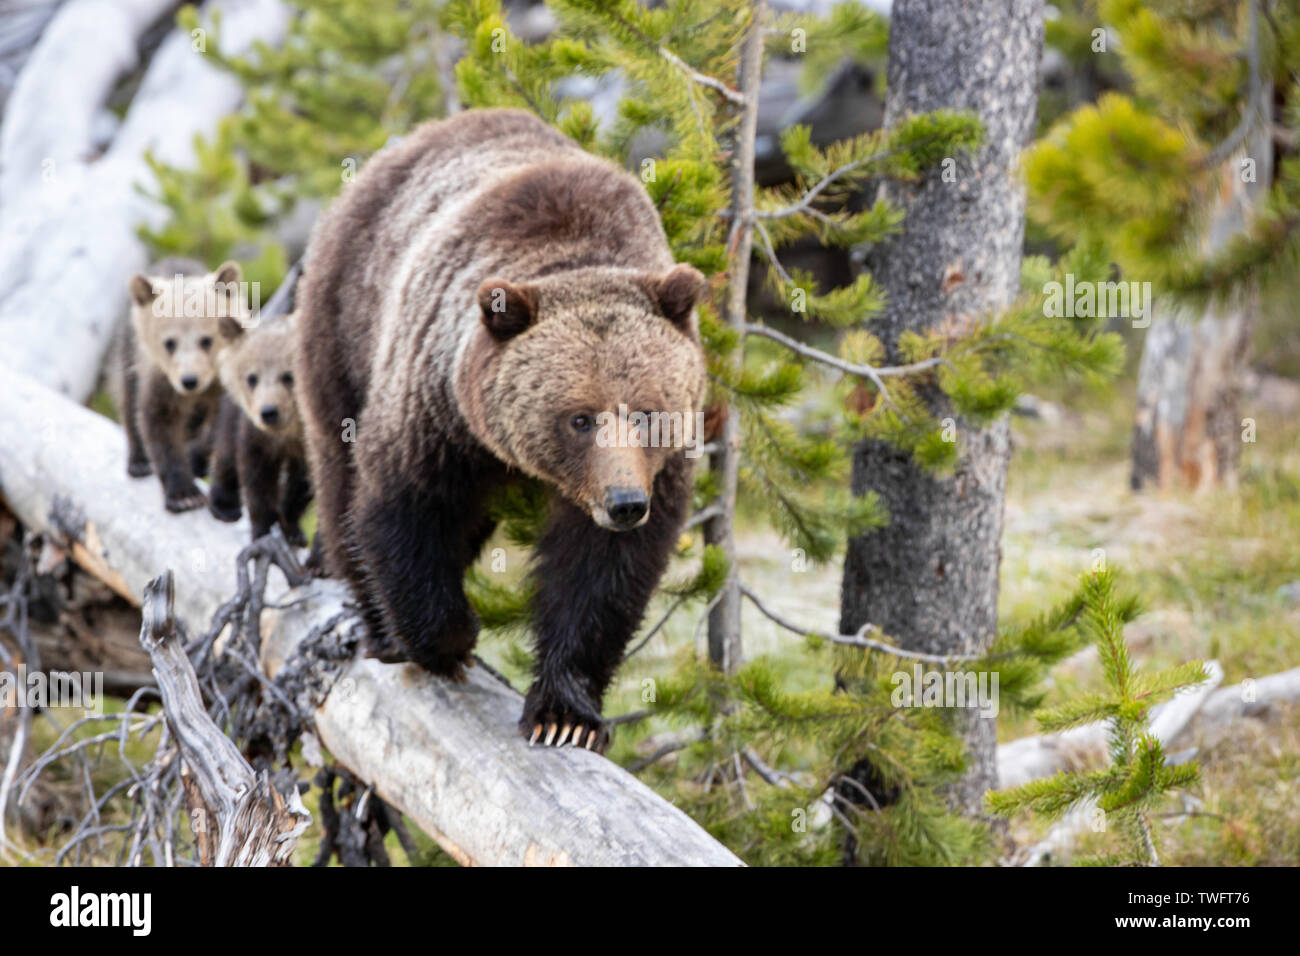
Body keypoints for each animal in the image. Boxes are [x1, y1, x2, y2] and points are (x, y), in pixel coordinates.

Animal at [119, 258, 248, 512]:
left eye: (207, 340)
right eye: (169, 343)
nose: (189, 380)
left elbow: (220, 426)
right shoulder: (159, 379)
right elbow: (158, 423)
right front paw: (185, 495)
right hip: (130, 351)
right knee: (128, 397)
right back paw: (138, 462)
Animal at [207, 314, 312, 547]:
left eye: (288, 376)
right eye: (252, 377)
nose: (269, 412)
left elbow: (301, 485)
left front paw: (292, 529)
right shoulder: (255, 435)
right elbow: (256, 479)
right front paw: (262, 529)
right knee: (226, 451)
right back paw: (224, 506)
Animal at [296, 108, 708, 752]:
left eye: (645, 412)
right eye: (580, 417)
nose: (623, 503)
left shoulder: (660, 468)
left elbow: (603, 576)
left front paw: (565, 715)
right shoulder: (437, 408)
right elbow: (405, 505)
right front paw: (449, 639)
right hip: (344, 320)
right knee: (339, 480)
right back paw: (376, 623)